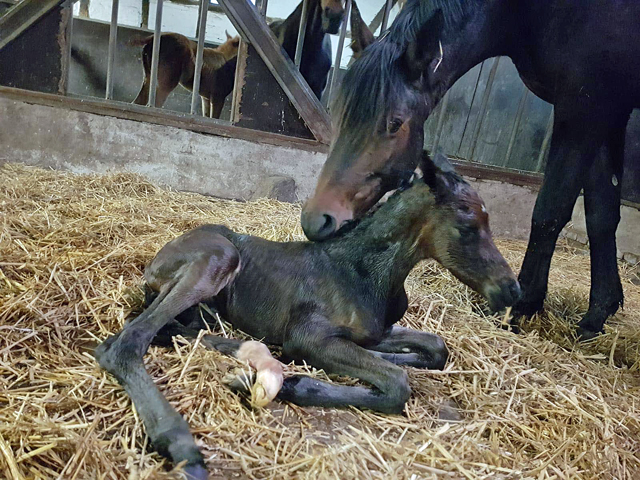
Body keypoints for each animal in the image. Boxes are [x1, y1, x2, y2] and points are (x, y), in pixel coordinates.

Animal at [95, 153, 520, 476]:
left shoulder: (377, 331)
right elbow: (397, 384)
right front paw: (299, 384)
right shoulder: (310, 336)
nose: (511, 289)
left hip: (206, 308)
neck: (363, 273)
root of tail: (156, 260)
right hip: (217, 258)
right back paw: (181, 443)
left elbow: (435, 348)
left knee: (181, 330)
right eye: (468, 225)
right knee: (126, 342)